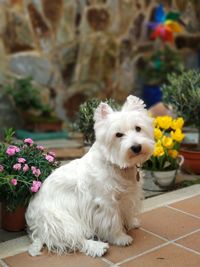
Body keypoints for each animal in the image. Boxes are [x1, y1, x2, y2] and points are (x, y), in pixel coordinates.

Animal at [25, 96, 155, 258]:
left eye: (138, 128)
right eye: (118, 134)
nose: (136, 147)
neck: (115, 164)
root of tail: (33, 226)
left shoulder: (128, 196)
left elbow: (127, 211)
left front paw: (132, 222)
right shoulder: (106, 203)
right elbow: (112, 222)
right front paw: (121, 238)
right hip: (60, 221)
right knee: (76, 240)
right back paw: (98, 247)